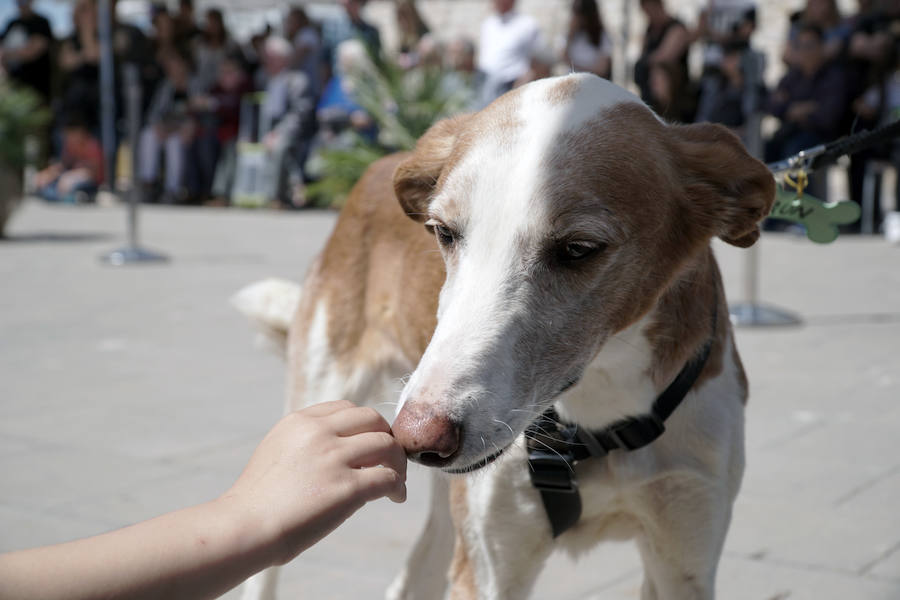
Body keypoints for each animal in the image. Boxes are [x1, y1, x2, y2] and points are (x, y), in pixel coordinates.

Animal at [237, 75, 772, 600]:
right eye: (443, 232)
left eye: (578, 248)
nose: (418, 437)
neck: (598, 414)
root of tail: (374, 167)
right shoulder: (490, 570)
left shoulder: (684, 560)